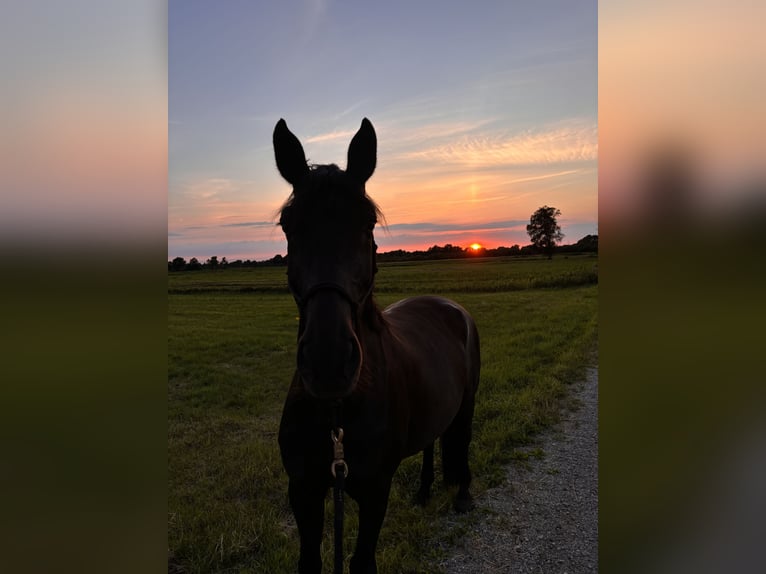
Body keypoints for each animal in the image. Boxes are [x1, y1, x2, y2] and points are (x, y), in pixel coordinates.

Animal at [274, 118, 480, 574]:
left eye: (368, 222)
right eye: (288, 225)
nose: (329, 362)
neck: (337, 413)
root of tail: (451, 306)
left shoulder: (374, 493)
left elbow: (362, 561)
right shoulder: (304, 491)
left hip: (468, 405)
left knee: (461, 441)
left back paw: (463, 495)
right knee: (431, 442)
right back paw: (423, 492)